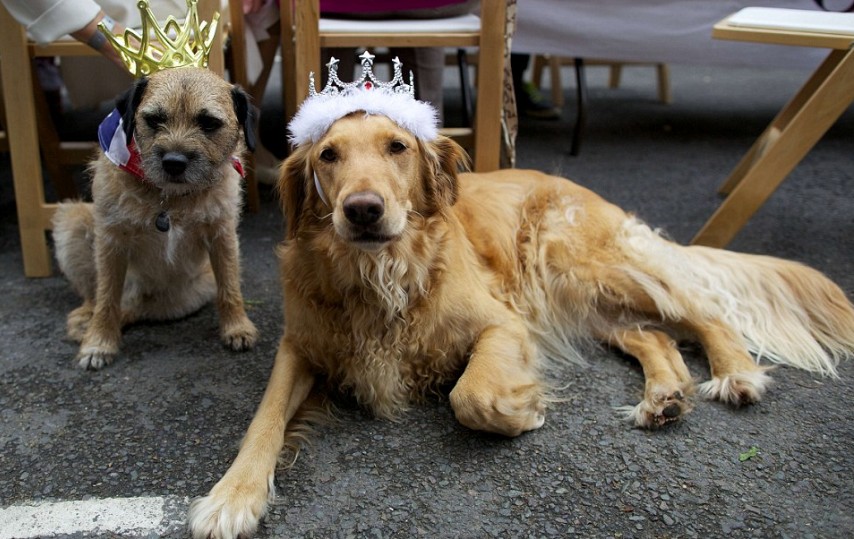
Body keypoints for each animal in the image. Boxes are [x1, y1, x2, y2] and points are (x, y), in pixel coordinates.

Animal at [53, 67, 258, 370]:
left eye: (209, 123)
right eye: (154, 119)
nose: (173, 162)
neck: (170, 199)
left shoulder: (222, 234)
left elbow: (229, 286)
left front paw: (237, 328)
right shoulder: (111, 240)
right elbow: (106, 297)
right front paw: (98, 342)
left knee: (133, 309)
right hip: (73, 220)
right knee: (99, 297)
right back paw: (86, 321)